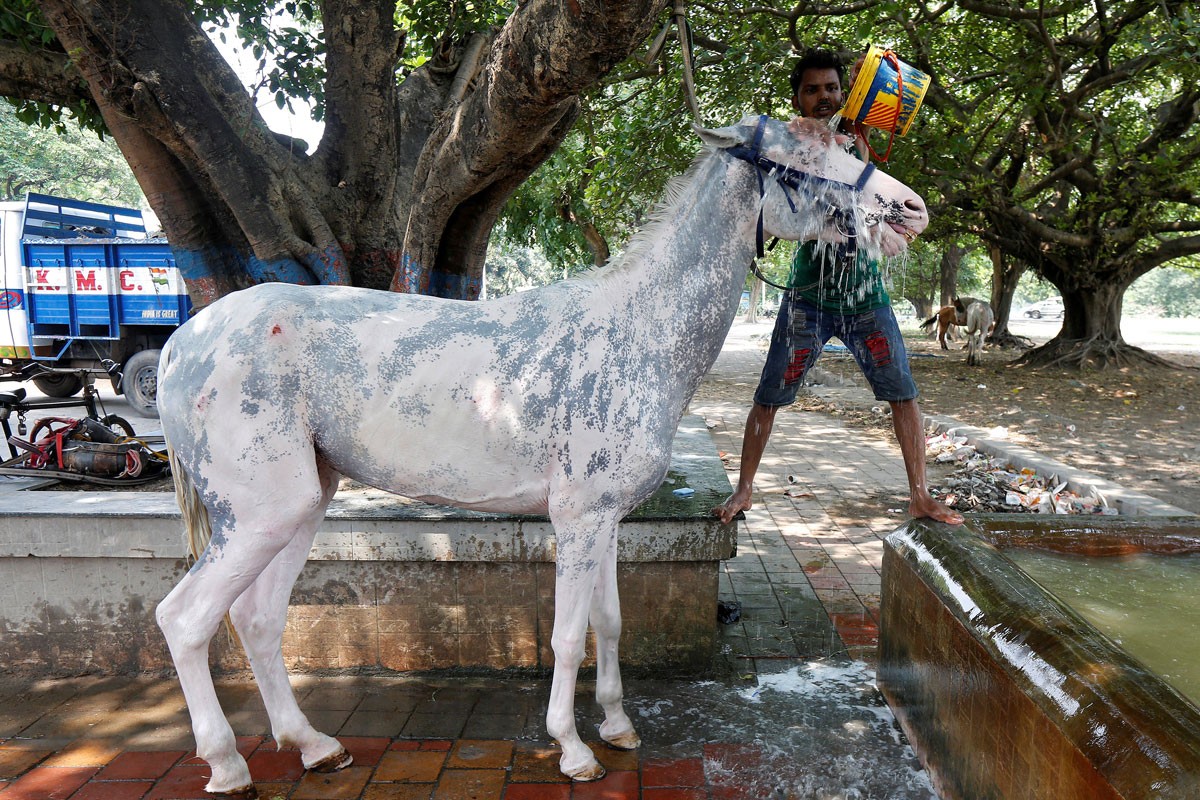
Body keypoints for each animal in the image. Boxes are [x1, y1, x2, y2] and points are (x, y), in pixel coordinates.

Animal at [157, 113, 926, 796]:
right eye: (799, 158)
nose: (910, 210)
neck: (638, 330)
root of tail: (182, 342)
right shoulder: (577, 518)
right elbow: (565, 635)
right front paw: (572, 749)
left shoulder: (608, 517)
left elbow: (608, 622)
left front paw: (617, 726)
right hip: (264, 513)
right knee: (186, 620)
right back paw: (226, 763)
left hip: (304, 504)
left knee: (257, 619)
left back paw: (314, 746)